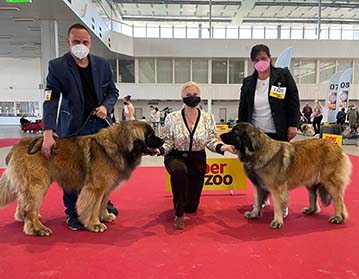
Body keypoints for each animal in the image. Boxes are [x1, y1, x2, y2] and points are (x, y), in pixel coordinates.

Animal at [0, 121, 163, 237]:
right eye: (149, 135)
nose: (162, 141)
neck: (117, 146)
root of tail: (16, 147)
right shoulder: (95, 188)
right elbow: (93, 206)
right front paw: (95, 224)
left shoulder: (106, 188)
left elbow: (103, 203)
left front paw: (105, 216)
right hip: (38, 185)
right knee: (30, 209)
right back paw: (37, 229)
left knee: (24, 203)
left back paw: (24, 219)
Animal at [221, 122, 352, 230]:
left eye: (235, 133)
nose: (221, 136)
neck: (258, 152)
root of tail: (337, 147)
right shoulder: (258, 185)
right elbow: (257, 201)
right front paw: (254, 214)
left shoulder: (276, 188)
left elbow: (277, 205)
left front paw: (277, 221)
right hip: (311, 181)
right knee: (313, 196)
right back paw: (310, 210)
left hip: (330, 182)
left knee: (338, 200)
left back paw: (338, 217)